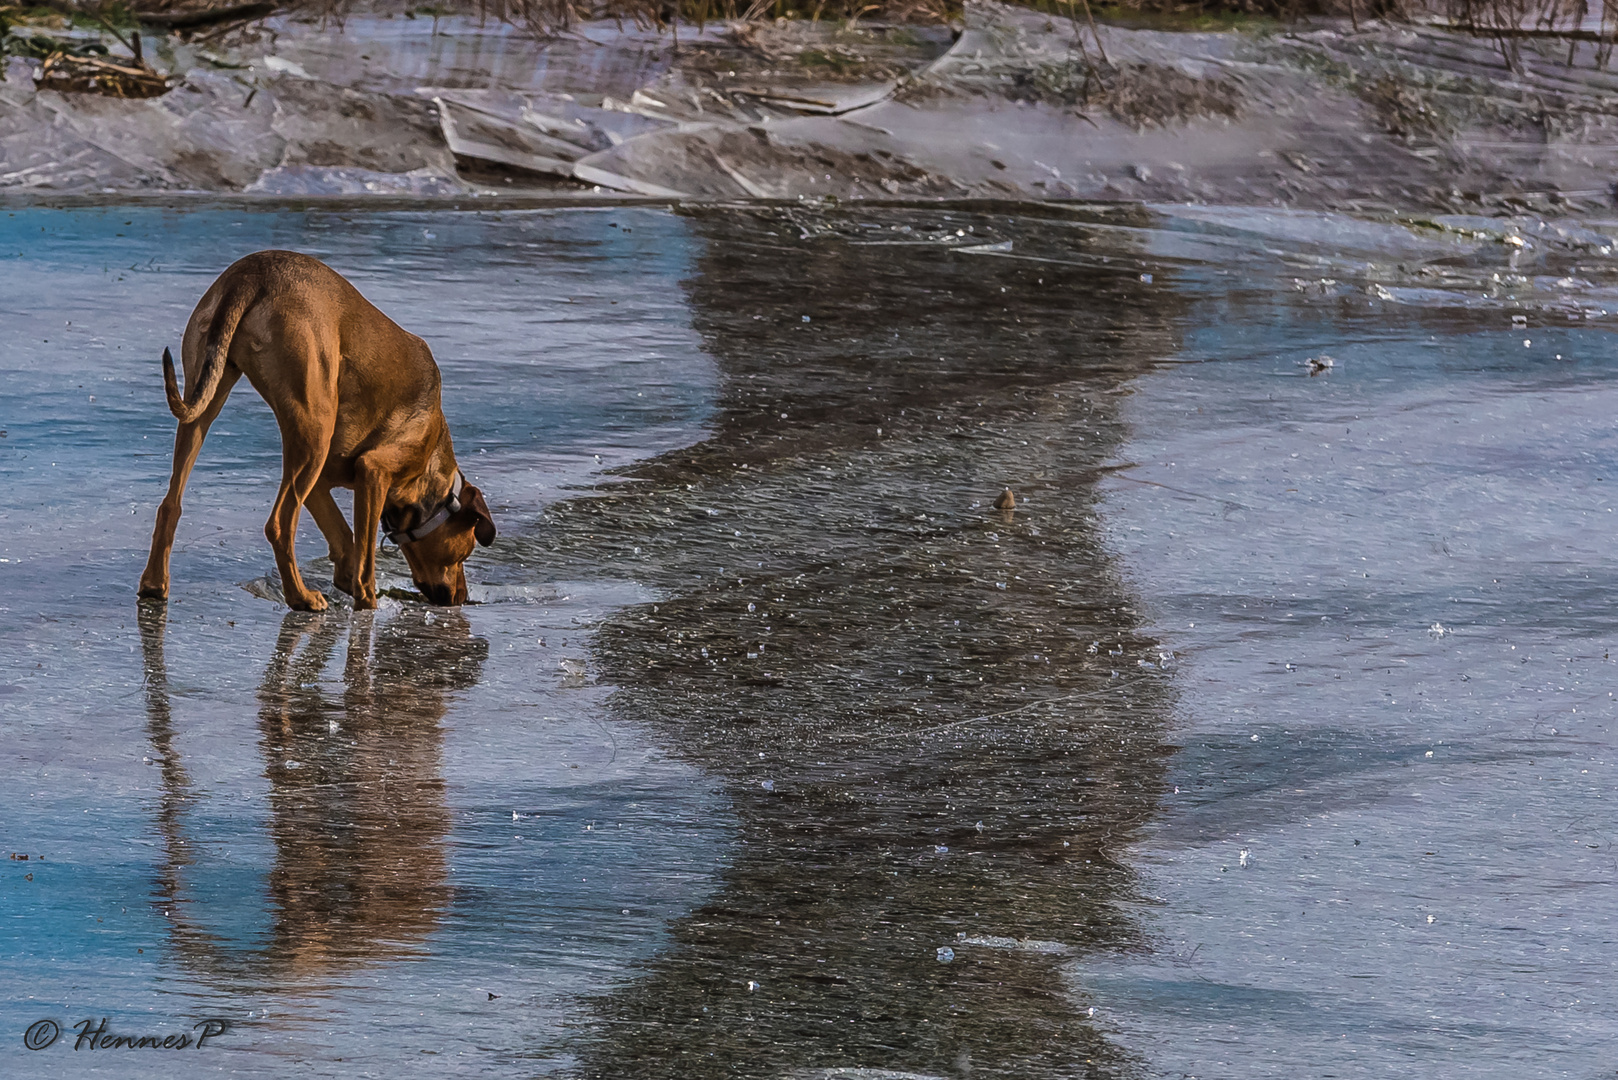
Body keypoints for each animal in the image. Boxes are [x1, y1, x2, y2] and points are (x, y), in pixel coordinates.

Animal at [138, 249, 491, 612]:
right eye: (464, 552)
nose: (461, 598)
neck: (431, 458)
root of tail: (254, 271)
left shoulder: (322, 478)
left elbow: (344, 536)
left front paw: (345, 577)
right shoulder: (373, 472)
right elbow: (364, 559)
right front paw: (367, 601)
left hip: (209, 396)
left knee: (171, 502)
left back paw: (154, 584)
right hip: (314, 427)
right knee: (280, 524)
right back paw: (301, 597)